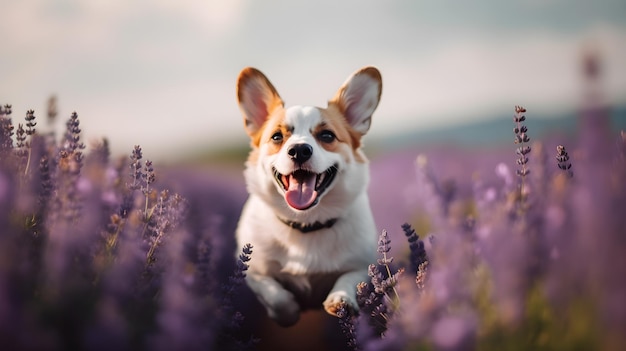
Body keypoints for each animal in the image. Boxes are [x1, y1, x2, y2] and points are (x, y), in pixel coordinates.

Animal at [234, 65, 380, 328]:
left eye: (327, 136)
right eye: (277, 137)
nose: (300, 150)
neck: (306, 223)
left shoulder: (362, 265)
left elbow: (349, 279)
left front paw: (341, 300)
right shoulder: (254, 272)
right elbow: (275, 294)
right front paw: (288, 312)